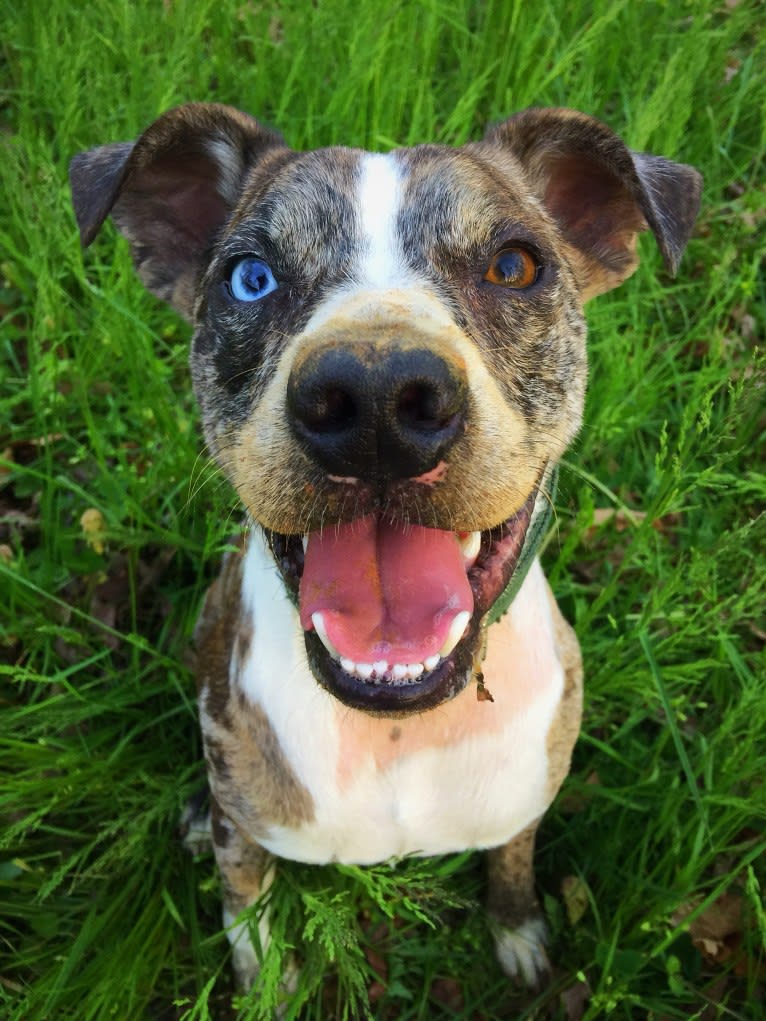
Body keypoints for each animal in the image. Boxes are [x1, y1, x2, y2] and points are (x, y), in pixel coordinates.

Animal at [68, 107, 706, 992]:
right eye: (251, 278)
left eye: (515, 265)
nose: (375, 399)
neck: (399, 731)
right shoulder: (248, 835)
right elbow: (248, 916)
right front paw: (266, 986)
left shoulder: (523, 798)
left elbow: (514, 857)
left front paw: (517, 929)